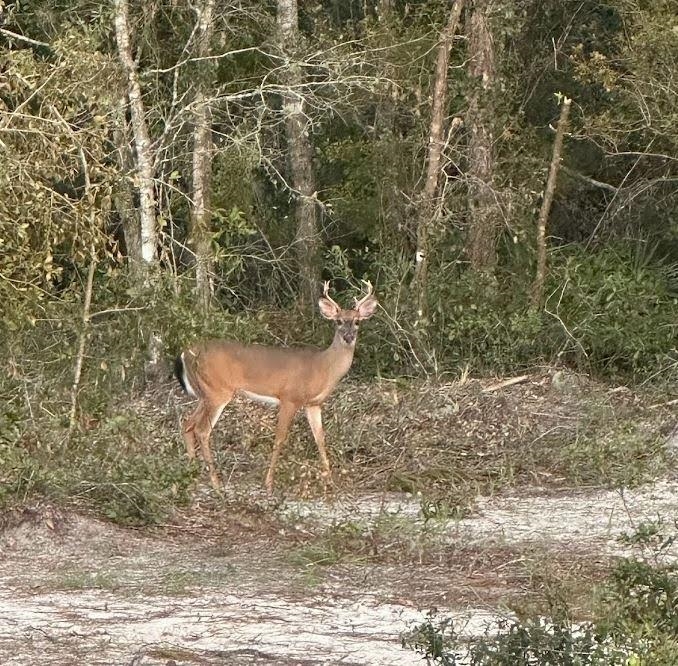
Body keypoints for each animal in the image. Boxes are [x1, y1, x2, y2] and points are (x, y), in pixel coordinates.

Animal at [174, 280, 378, 492]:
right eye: (338, 321)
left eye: (357, 321)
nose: (349, 337)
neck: (323, 367)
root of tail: (186, 353)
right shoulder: (289, 398)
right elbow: (279, 438)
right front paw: (269, 482)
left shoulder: (313, 404)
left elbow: (320, 439)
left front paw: (330, 481)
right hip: (218, 391)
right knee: (202, 430)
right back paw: (215, 483)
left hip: (205, 393)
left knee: (187, 424)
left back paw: (191, 474)